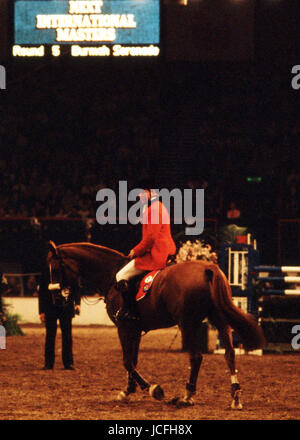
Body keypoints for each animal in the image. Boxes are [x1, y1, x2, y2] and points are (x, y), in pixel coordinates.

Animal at [47, 241, 264, 410]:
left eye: (55, 269)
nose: (56, 298)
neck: (110, 274)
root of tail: (207, 268)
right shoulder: (134, 329)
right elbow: (133, 360)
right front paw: (127, 391)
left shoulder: (123, 327)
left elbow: (127, 361)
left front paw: (153, 389)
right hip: (219, 319)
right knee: (229, 353)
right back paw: (235, 397)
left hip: (188, 324)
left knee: (196, 357)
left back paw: (187, 396)